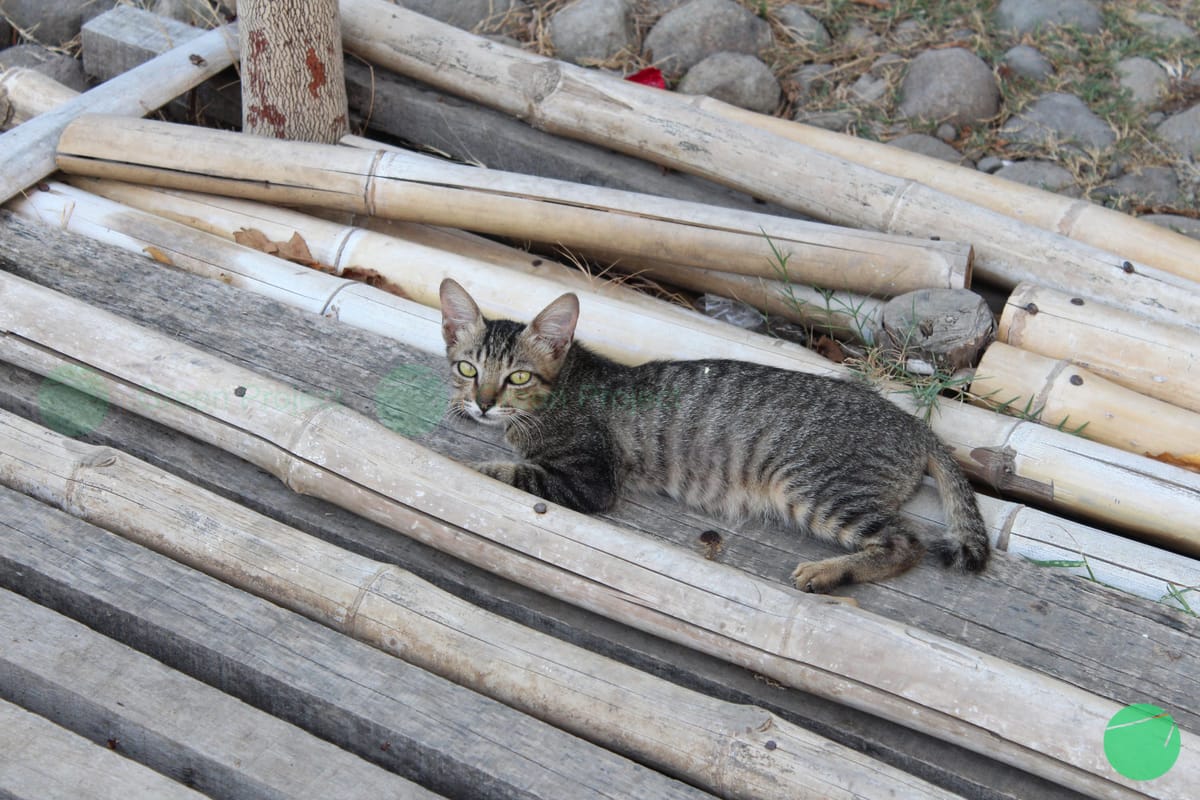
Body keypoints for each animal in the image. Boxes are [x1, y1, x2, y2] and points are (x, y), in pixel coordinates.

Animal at [439, 278, 984, 592]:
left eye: (518, 377)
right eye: (467, 368)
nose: (483, 403)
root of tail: (914, 424)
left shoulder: (590, 479)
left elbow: (513, 471)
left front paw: (471, 462)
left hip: (816, 486)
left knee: (905, 543)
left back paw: (828, 573)